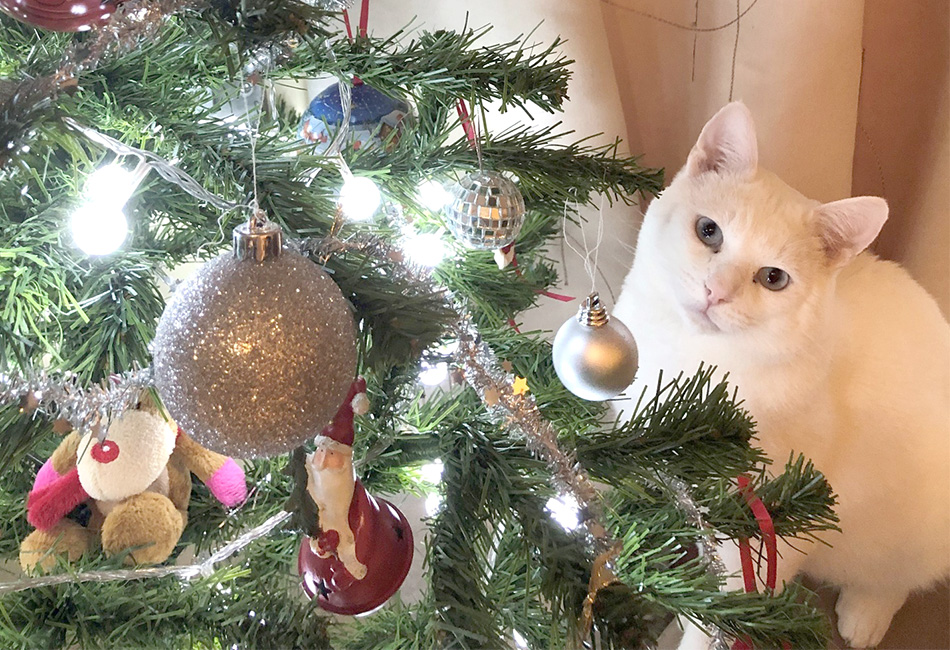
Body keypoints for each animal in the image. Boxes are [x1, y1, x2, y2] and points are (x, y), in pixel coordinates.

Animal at [612, 102, 950, 648]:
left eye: (773, 278)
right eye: (708, 231)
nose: (716, 292)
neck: (693, 362)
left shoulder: (765, 527)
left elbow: (726, 609)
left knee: (898, 575)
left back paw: (866, 612)